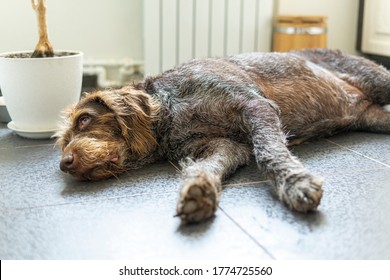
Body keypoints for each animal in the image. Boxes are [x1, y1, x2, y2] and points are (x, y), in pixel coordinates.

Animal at [56, 48, 390, 223]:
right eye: (63, 141)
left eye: (85, 119)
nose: (64, 163)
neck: (170, 111)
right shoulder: (224, 146)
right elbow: (211, 164)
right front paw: (199, 189)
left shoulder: (255, 106)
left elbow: (269, 152)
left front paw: (295, 182)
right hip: (377, 119)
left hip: (377, 79)